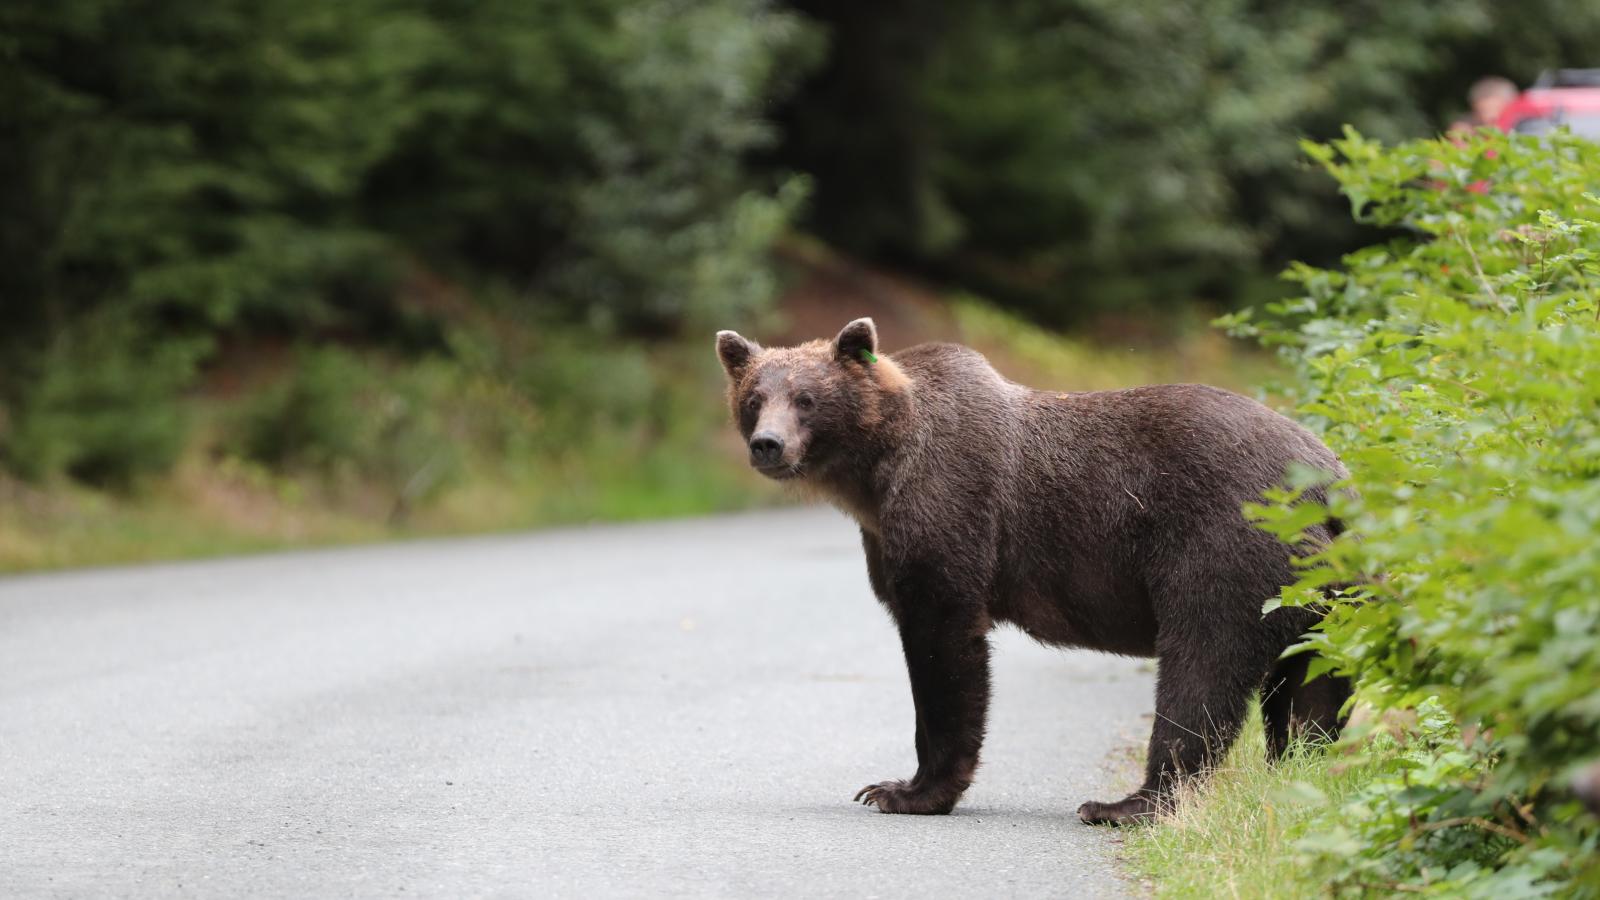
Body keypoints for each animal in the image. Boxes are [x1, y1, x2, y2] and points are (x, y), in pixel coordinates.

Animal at [713, 315, 1350, 819]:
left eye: (806, 398)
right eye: (753, 399)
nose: (768, 444)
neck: (875, 476)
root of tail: (1329, 477)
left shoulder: (950, 513)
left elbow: (945, 648)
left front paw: (902, 790)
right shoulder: (885, 535)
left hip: (1224, 546)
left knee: (1202, 664)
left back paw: (1125, 804)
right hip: (1326, 590)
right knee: (1312, 686)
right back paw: (1298, 775)